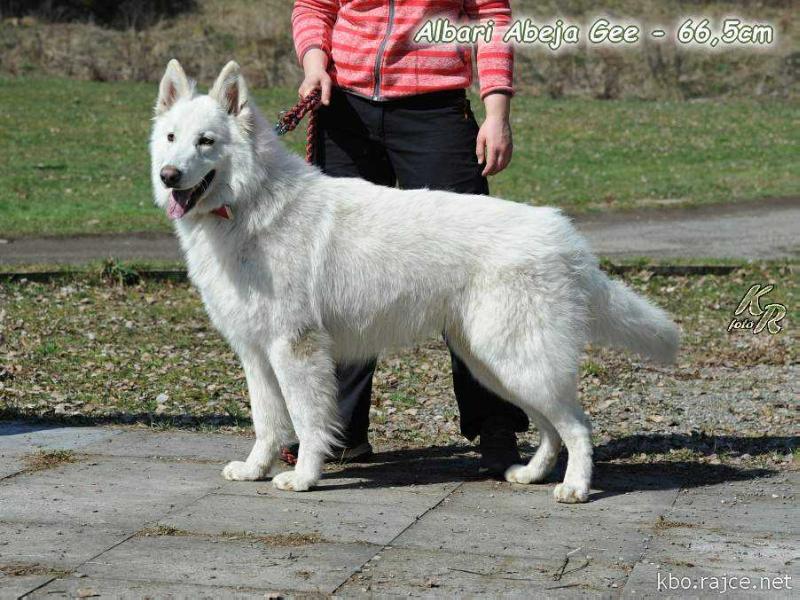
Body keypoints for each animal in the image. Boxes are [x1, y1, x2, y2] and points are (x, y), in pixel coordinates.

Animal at [148, 61, 676, 502]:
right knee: (550, 427)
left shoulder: (294, 349)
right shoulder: (257, 353)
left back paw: (576, 488)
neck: (248, 204)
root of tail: (565, 236)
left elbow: (306, 419)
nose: (169, 175)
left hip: (516, 358)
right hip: (494, 362)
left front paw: (304, 477)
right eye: (172, 137)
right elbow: (267, 422)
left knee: (579, 426)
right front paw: (257, 468)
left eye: (206, 141)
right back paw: (532, 474)